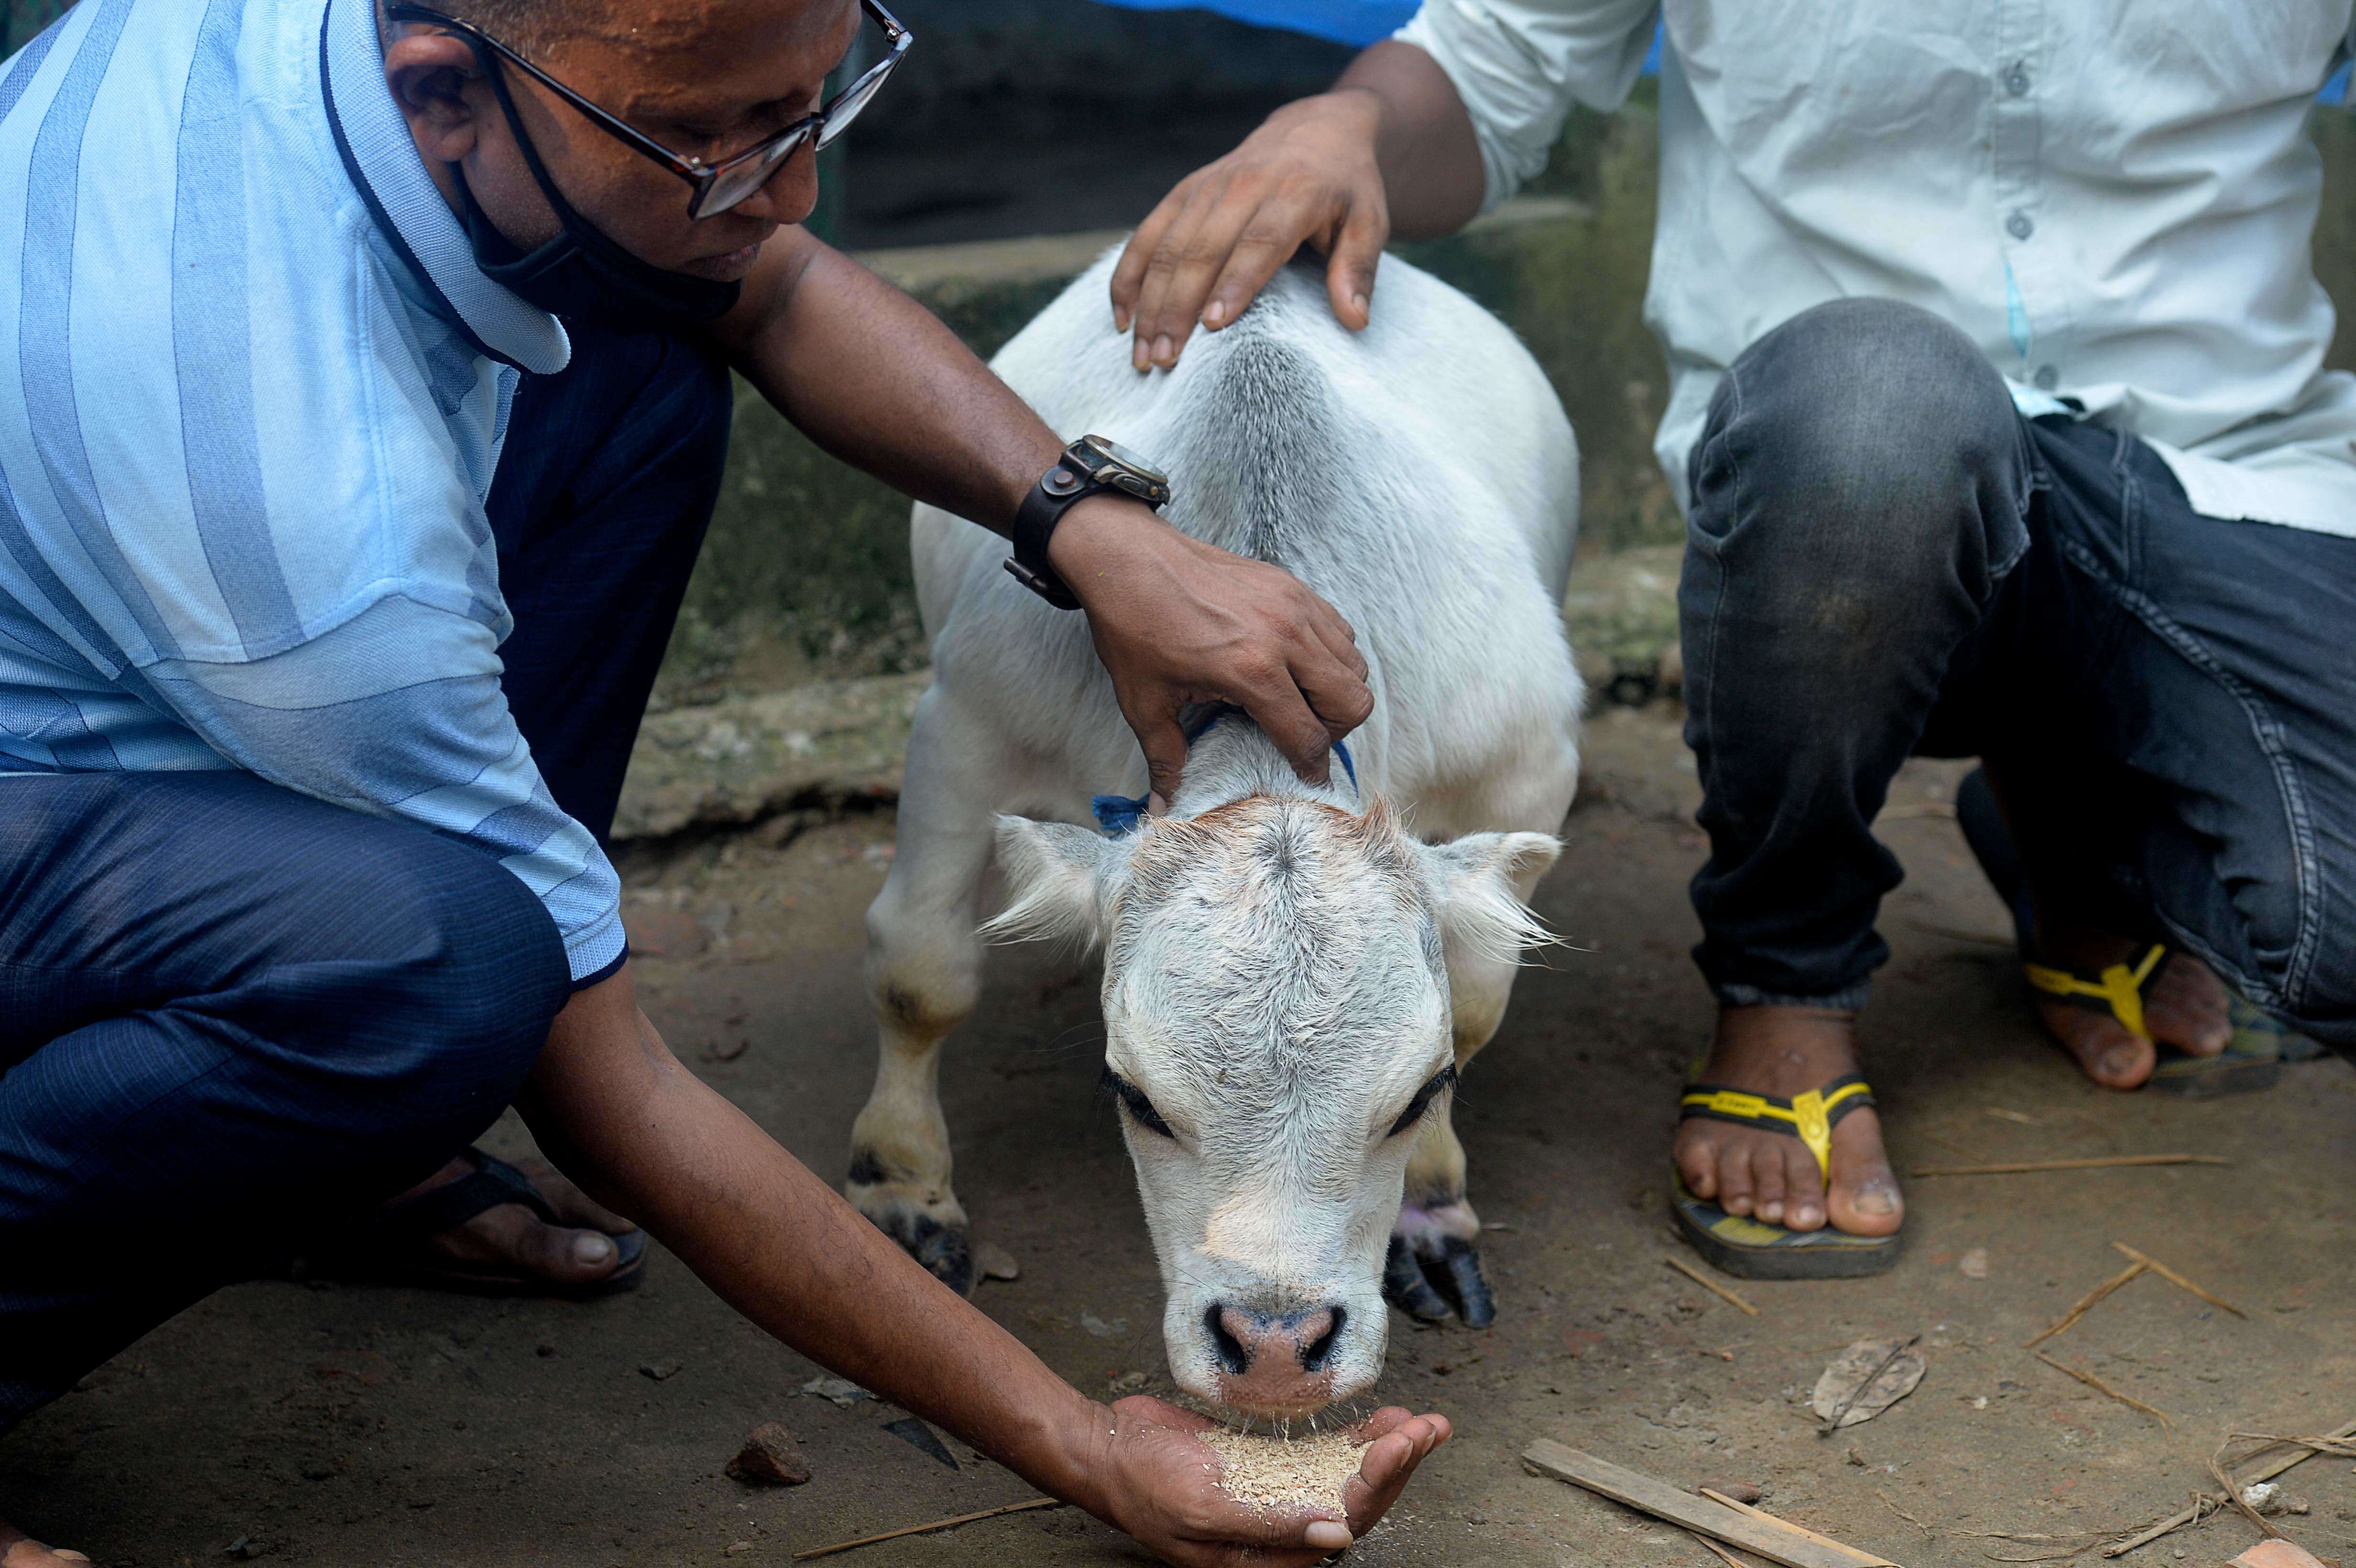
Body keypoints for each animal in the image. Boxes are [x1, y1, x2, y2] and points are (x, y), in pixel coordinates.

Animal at [848, 250, 1583, 1412]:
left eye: (1414, 1097)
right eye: (1134, 1096)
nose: (1276, 1346)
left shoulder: (1526, 766)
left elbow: (1470, 1005)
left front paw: (1430, 1205)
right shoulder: (968, 725)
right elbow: (921, 970)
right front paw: (902, 1186)